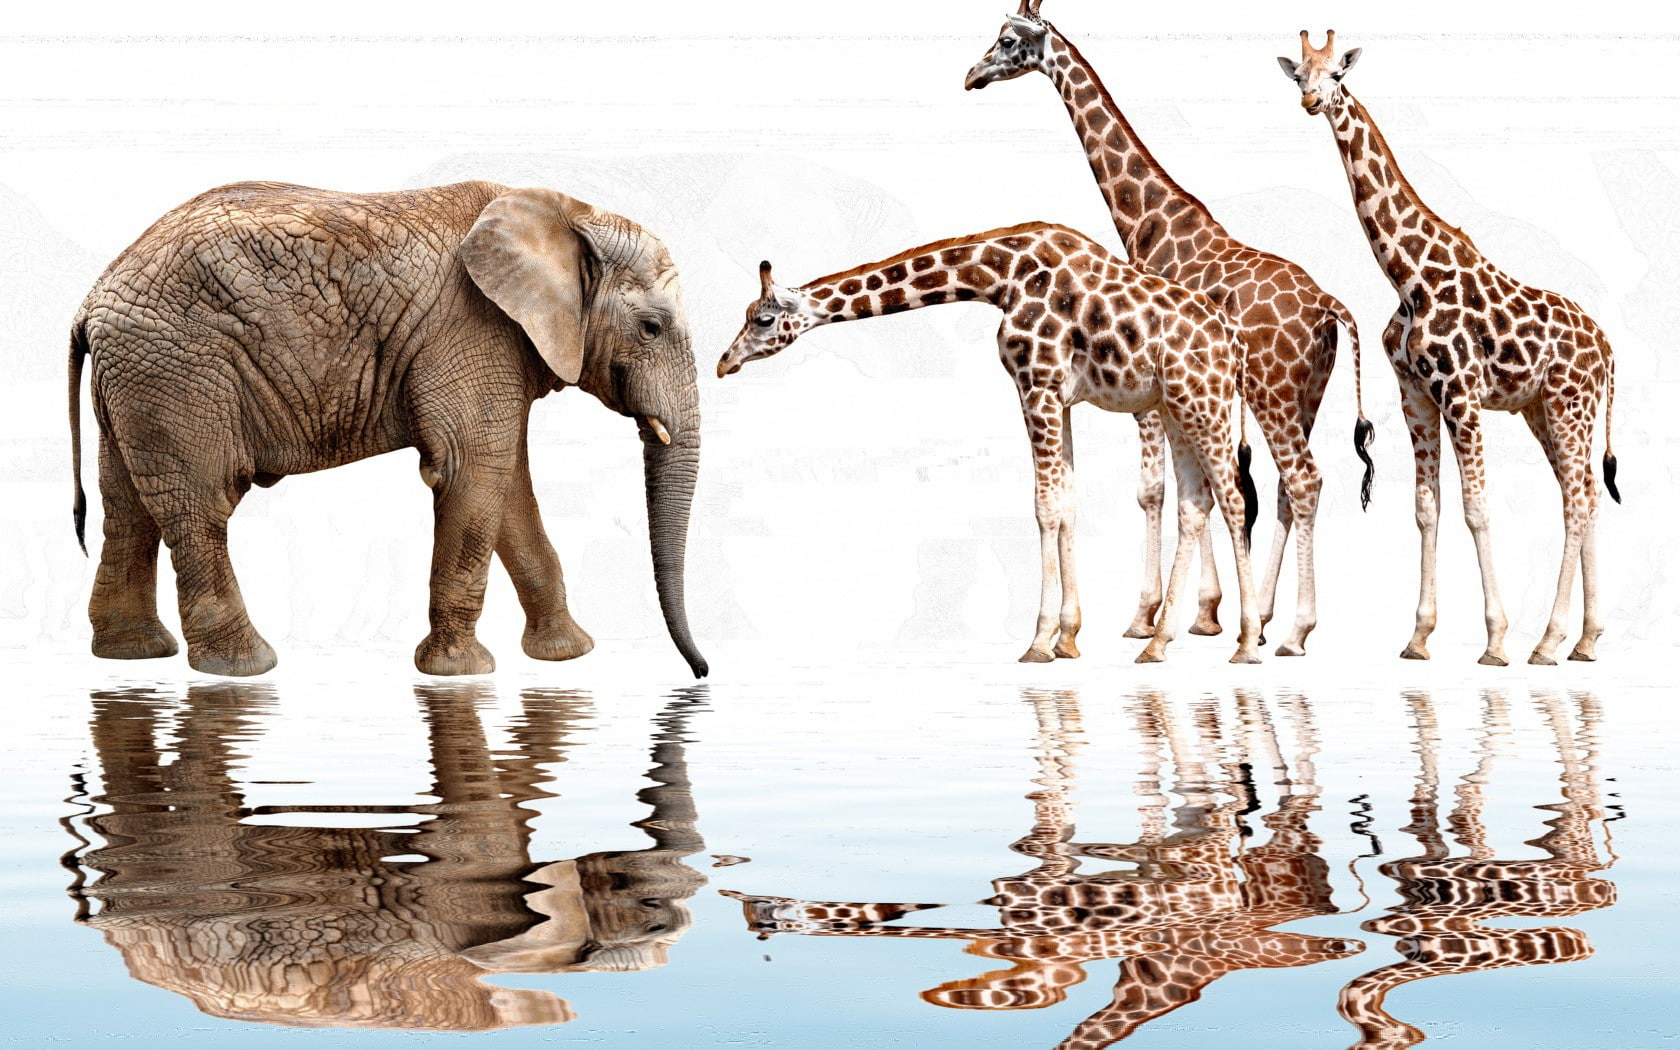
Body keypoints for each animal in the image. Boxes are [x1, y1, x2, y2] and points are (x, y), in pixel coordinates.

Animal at [67, 180, 707, 677]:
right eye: (651, 328)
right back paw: (245, 669)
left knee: (127, 505)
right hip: (178, 371)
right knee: (202, 504)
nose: (699, 673)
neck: (570, 215)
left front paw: (567, 656)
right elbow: (471, 470)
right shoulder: (471, 328)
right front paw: (462, 674)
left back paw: (133, 655)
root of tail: (92, 300)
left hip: (137, 380)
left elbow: (507, 486)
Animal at [717, 224, 1262, 664]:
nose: (724, 362)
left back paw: (1247, 643)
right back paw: (1158, 643)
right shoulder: (1059, 397)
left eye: (762, 320)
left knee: (1233, 499)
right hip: (1174, 406)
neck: (1001, 279)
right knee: (1195, 503)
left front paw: (1039, 641)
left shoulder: (1035, 385)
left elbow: (1044, 507)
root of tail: (1234, 344)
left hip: (1201, 403)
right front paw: (1069, 638)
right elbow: (1067, 504)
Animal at [965, 0, 1375, 657]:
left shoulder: (1151, 391)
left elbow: (1156, 490)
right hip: (1306, 394)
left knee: (1304, 479)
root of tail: (1329, 306)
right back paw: (1269, 620)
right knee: (1288, 488)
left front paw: (1151, 616)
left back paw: (1292, 630)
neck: (1148, 221)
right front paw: (1204, 615)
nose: (971, 76)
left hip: (1273, 393)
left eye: (1006, 39)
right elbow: (1196, 489)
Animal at [1279, 32, 1622, 666]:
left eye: (1338, 73)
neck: (1408, 277)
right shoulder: (1416, 394)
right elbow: (1425, 508)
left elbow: (1477, 507)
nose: (1312, 102)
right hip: (1545, 410)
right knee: (1584, 492)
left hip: (1570, 405)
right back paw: (1585, 640)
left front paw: (1495, 640)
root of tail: (1608, 348)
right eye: (1299, 76)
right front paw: (1418, 637)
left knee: (1577, 499)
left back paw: (1548, 641)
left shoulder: (1461, 394)